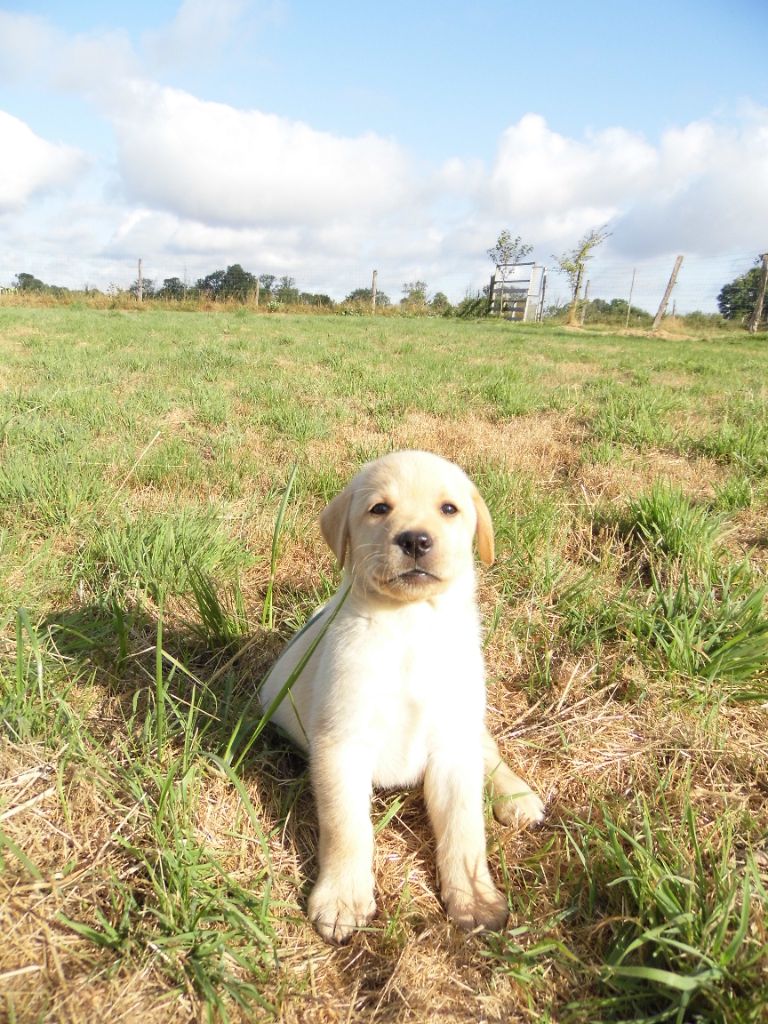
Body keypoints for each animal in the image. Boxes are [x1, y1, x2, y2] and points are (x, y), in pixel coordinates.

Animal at [259, 450, 544, 943]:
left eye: (449, 509)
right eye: (379, 509)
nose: (414, 540)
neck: (410, 625)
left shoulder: (451, 746)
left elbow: (464, 831)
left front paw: (475, 897)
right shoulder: (341, 744)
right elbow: (347, 827)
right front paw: (343, 898)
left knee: (486, 746)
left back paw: (516, 795)